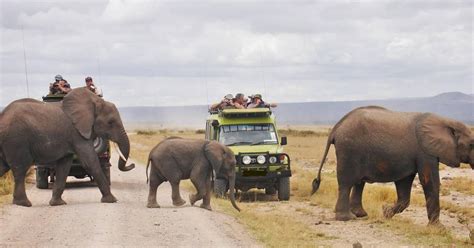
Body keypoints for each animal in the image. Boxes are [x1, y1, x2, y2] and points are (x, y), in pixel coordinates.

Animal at [0, 88, 135, 206]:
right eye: (110, 122)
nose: (132, 165)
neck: (94, 101)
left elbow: (64, 167)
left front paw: (57, 203)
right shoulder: (77, 134)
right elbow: (91, 162)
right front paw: (112, 200)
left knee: (3, 167)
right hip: (16, 140)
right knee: (20, 168)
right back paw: (24, 203)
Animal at [312, 106, 472, 225]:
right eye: (471, 145)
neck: (446, 121)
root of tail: (336, 128)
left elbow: (404, 184)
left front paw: (386, 213)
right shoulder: (425, 152)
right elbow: (429, 182)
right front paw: (438, 228)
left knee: (358, 183)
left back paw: (361, 215)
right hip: (349, 150)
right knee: (347, 183)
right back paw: (347, 218)